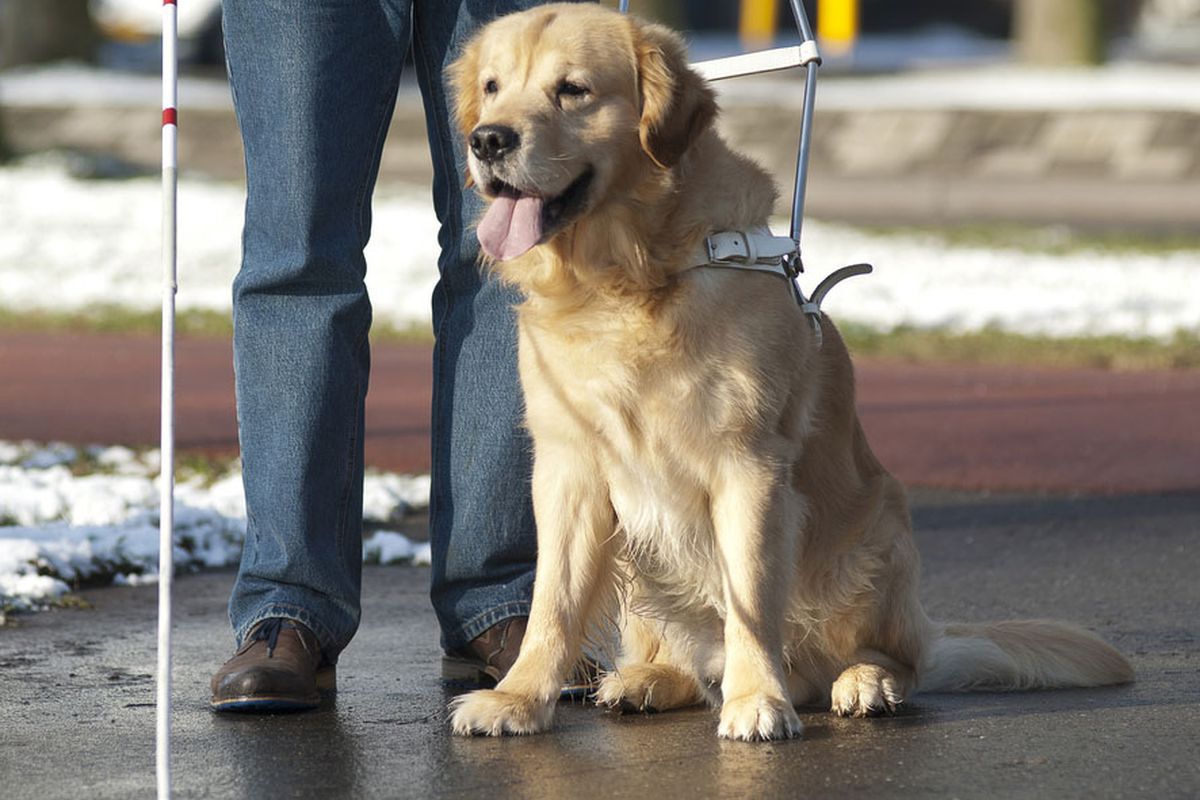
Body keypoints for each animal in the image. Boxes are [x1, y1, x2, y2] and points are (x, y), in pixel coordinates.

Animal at [444, 4, 1132, 743]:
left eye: (572, 90)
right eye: (491, 87)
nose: (487, 140)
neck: (626, 276)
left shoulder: (747, 463)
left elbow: (749, 596)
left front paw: (757, 700)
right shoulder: (569, 466)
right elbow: (553, 603)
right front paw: (518, 698)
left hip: (879, 537)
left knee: (884, 659)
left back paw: (864, 682)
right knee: (682, 656)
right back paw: (648, 679)